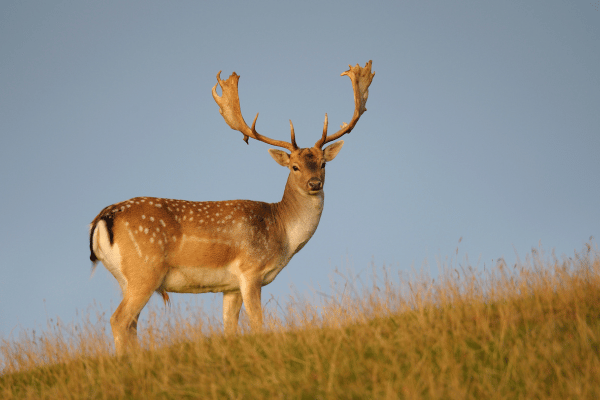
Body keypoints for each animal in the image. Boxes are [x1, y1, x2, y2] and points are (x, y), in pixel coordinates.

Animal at [89, 58, 376, 354]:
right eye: (294, 166)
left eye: (322, 163)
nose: (314, 183)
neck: (282, 233)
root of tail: (103, 218)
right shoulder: (250, 271)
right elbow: (258, 323)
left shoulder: (230, 287)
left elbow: (230, 329)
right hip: (144, 271)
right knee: (119, 320)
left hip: (125, 278)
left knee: (131, 324)